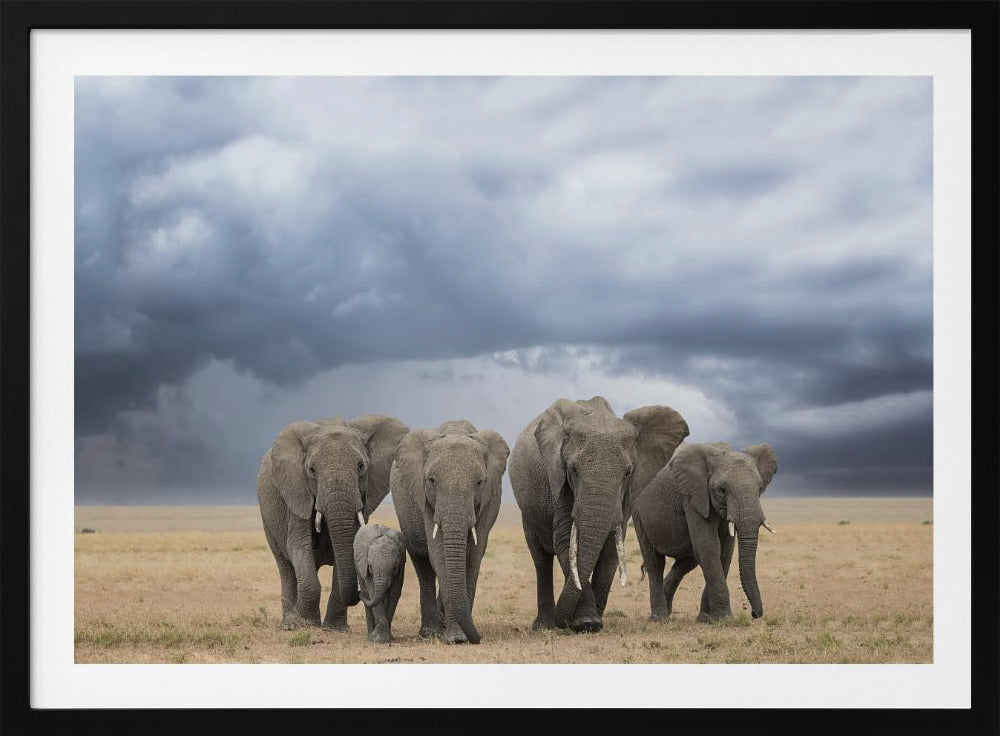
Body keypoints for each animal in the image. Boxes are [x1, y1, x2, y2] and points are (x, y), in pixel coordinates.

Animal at [256, 414, 409, 631]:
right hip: (268, 519)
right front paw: (305, 624)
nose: (361, 593)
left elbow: (350, 548)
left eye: (361, 467)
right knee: (286, 567)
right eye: (312, 470)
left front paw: (334, 629)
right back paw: (289, 624)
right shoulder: (296, 493)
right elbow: (299, 546)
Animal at [390, 420, 509, 644]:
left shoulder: (488, 499)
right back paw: (430, 632)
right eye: (431, 480)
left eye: (480, 482)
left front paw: (460, 637)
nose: (477, 638)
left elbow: (473, 557)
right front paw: (456, 638)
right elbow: (439, 555)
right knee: (422, 564)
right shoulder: (427, 501)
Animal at [509, 396, 689, 633]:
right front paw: (586, 622)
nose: (563, 622)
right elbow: (566, 541)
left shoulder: (626, 495)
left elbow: (611, 547)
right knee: (540, 559)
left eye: (627, 473)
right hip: (529, 511)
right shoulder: (558, 482)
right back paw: (544, 626)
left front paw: (592, 620)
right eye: (573, 470)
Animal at [631, 441, 778, 622]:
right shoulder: (693, 496)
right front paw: (726, 619)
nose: (754, 614)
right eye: (722, 490)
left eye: (760, 489)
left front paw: (707, 619)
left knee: (687, 561)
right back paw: (660, 618)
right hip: (638, 513)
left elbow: (725, 552)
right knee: (655, 562)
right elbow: (709, 547)